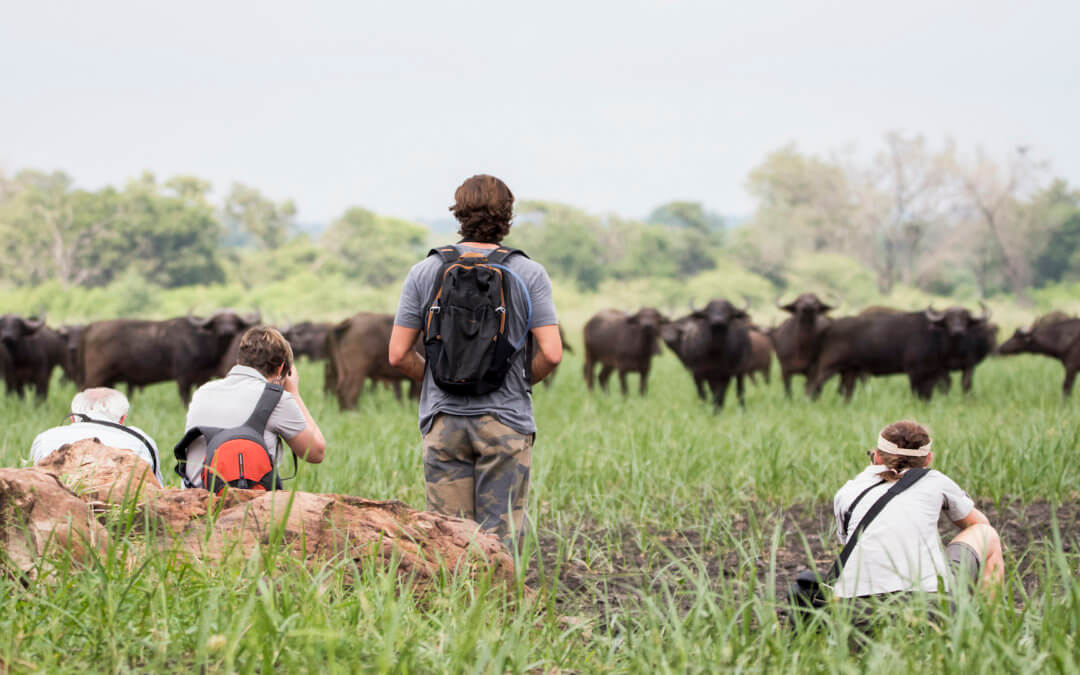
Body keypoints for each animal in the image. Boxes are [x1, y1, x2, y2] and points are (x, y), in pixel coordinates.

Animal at [78, 308, 259, 399]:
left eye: (234, 320)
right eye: (218, 321)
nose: (227, 330)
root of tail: (91, 327)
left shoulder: (203, 377)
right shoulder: (183, 377)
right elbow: (185, 399)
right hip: (96, 375)